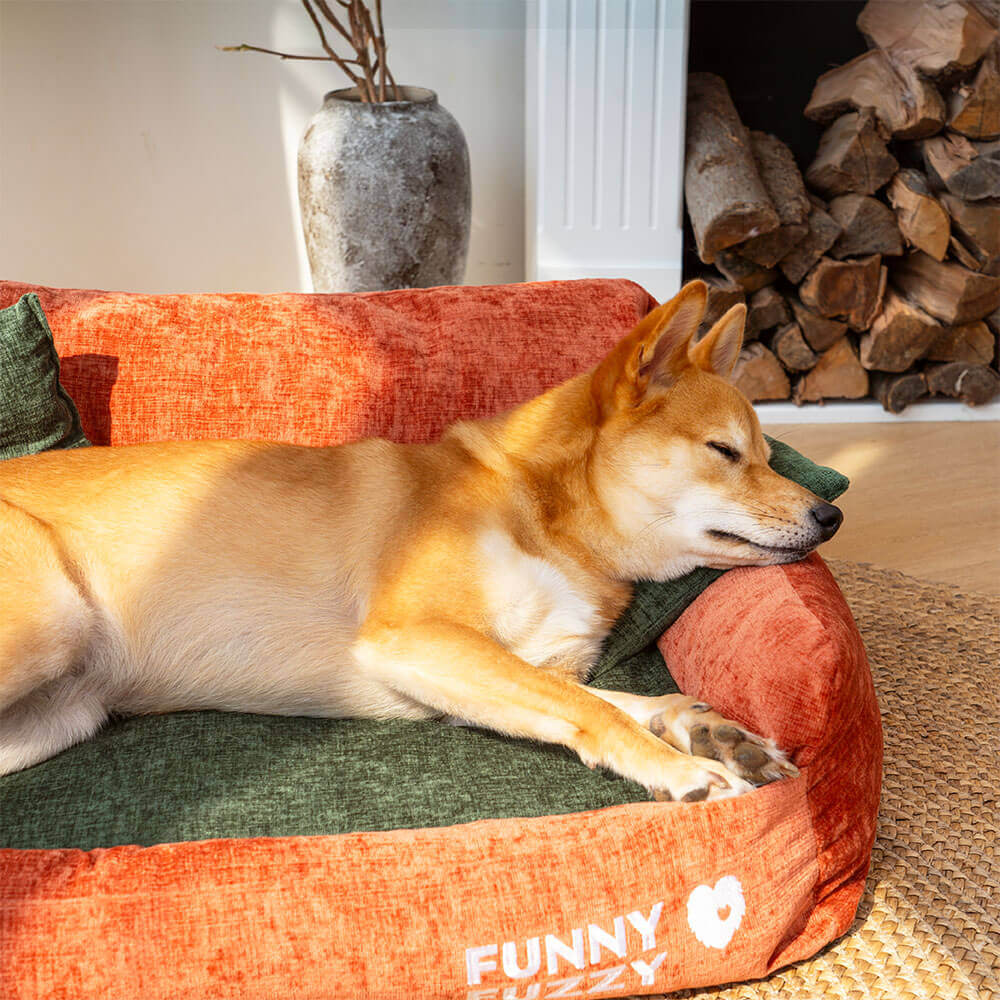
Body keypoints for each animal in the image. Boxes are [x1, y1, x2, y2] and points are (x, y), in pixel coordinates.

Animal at [0, 282, 840, 804]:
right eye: (726, 451)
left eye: (768, 452)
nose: (830, 516)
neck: (546, 514)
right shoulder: (417, 638)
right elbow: (598, 712)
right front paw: (679, 768)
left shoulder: (502, 666)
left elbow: (627, 700)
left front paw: (713, 732)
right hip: (54, 622)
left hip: (61, 714)